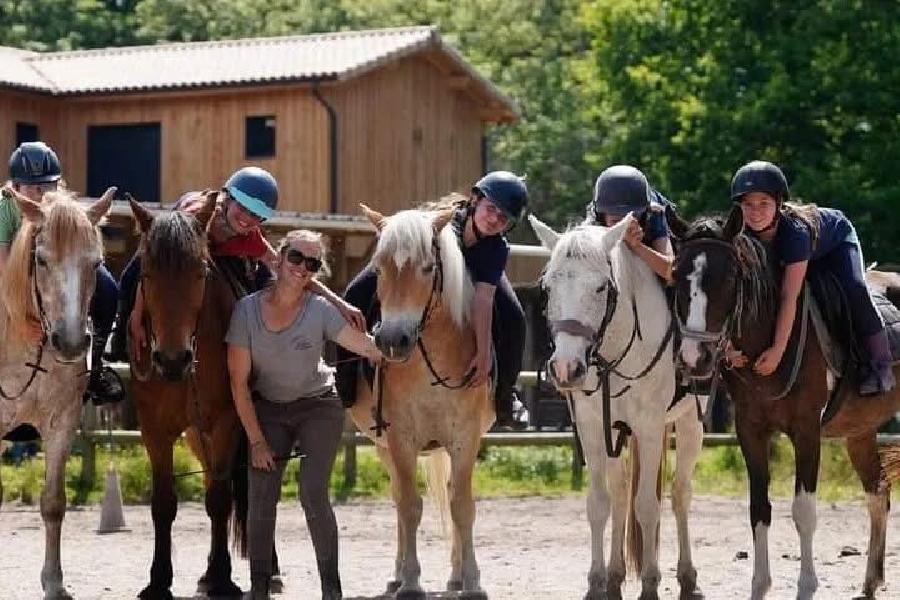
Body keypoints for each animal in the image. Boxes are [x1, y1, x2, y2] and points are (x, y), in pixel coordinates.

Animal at [0, 186, 112, 596]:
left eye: (95, 264)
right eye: (42, 260)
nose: (70, 343)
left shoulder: (61, 424)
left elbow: (53, 504)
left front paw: (54, 582)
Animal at [128, 197, 248, 600]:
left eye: (200, 273)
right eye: (147, 274)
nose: (171, 359)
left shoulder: (227, 421)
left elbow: (219, 500)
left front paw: (224, 578)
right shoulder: (154, 429)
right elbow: (163, 503)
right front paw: (158, 580)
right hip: (197, 436)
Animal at [348, 204, 492, 596]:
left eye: (428, 267)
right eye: (379, 267)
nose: (392, 340)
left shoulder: (465, 439)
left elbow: (462, 506)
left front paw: (472, 581)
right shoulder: (400, 440)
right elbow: (410, 507)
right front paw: (411, 581)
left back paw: (456, 575)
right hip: (384, 447)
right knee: (400, 498)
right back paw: (398, 575)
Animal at [532, 216, 708, 600]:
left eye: (601, 288)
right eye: (548, 288)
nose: (566, 368)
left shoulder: (650, 428)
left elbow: (647, 506)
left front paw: (651, 584)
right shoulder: (592, 429)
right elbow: (600, 503)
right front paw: (597, 581)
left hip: (690, 423)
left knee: (680, 494)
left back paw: (688, 577)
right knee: (620, 492)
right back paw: (615, 576)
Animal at [668, 211, 900, 600]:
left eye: (728, 277)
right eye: (675, 274)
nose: (693, 358)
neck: (770, 335)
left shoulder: (806, 431)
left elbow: (804, 511)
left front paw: (806, 586)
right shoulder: (751, 432)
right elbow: (759, 509)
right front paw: (760, 586)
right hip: (860, 431)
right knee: (878, 492)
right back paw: (870, 582)